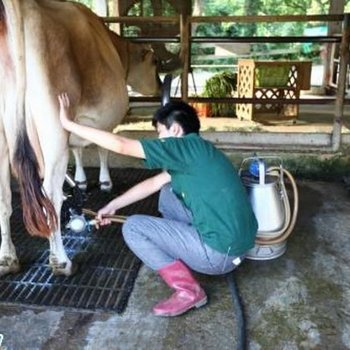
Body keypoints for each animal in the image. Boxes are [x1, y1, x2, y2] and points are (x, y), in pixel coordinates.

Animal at [0, 1, 161, 278]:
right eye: (154, 64)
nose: (161, 87)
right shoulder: (108, 120)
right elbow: (103, 148)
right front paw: (104, 182)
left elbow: (78, 150)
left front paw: (82, 181)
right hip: (53, 128)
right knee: (50, 196)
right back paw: (61, 261)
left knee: (4, 197)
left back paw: (7, 259)